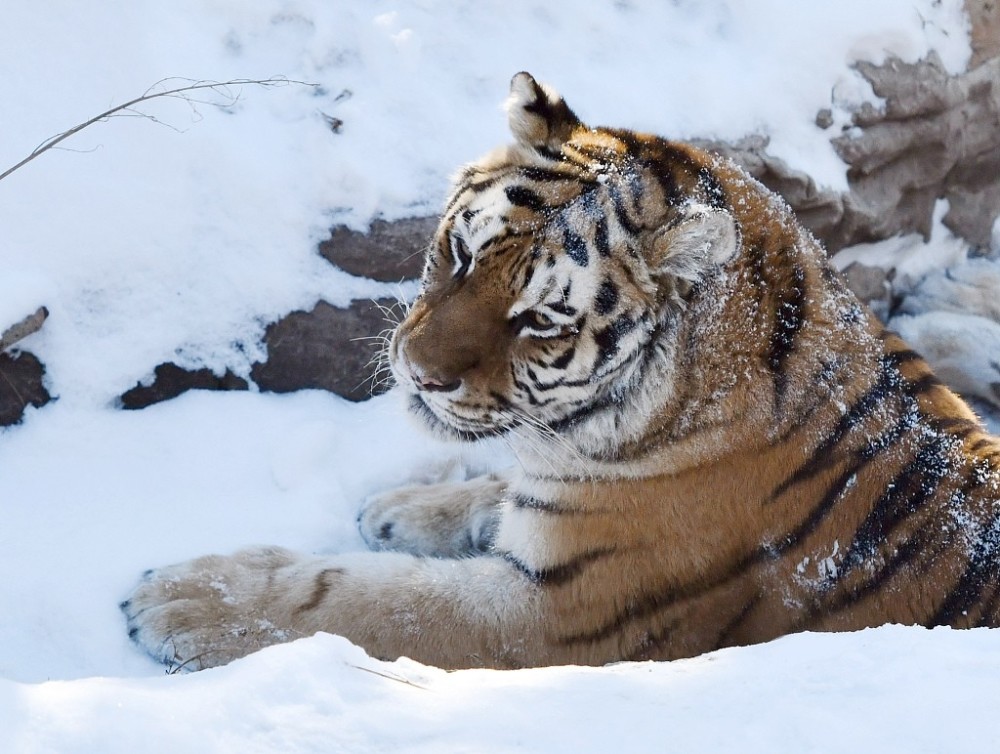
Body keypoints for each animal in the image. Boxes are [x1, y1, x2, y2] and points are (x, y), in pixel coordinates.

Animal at [121, 72, 1000, 668]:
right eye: (460, 253)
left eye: (539, 320)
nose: (415, 373)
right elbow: (492, 489)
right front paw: (404, 507)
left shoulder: (546, 615)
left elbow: (357, 601)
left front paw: (183, 598)